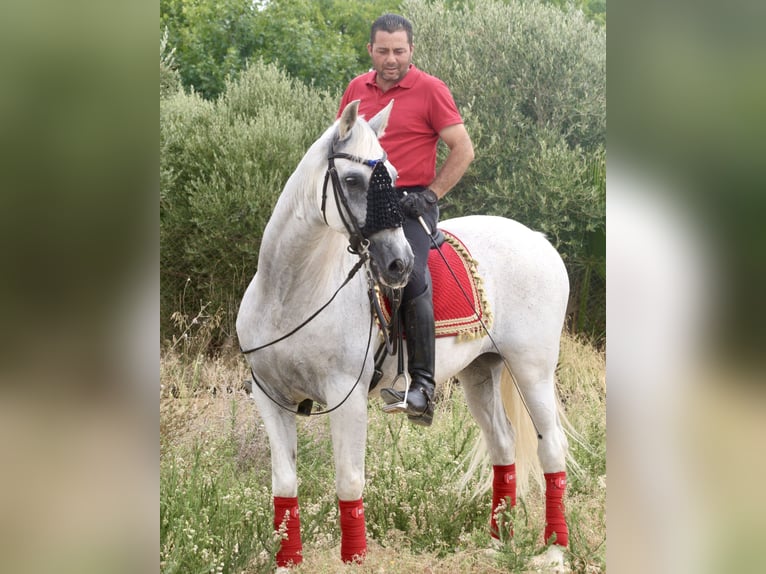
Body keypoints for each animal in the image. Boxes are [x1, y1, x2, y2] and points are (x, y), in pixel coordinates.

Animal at [237, 100, 572, 572]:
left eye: (394, 180)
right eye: (353, 180)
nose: (399, 263)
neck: (290, 293)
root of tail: (538, 239)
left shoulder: (346, 396)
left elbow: (349, 482)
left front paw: (355, 559)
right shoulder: (270, 397)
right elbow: (284, 484)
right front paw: (288, 560)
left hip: (532, 369)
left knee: (551, 448)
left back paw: (555, 550)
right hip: (480, 372)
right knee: (503, 446)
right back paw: (498, 543)